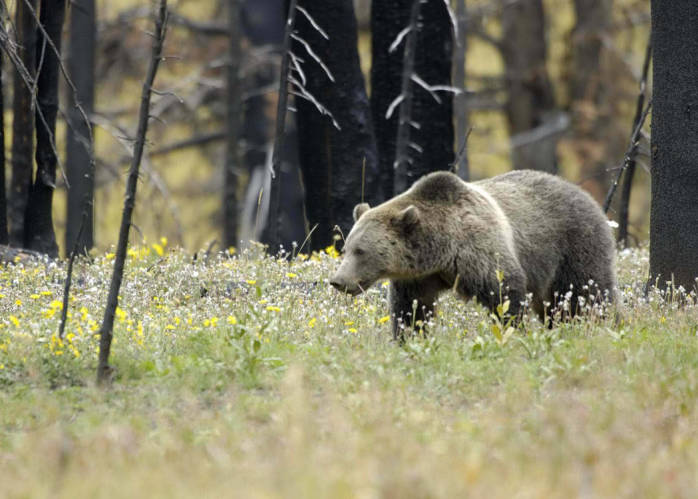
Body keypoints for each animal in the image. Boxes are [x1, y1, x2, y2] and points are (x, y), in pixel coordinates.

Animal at [328, 171, 612, 340]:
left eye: (361, 251)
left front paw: (514, 331)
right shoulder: (418, 277)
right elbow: (411, 309)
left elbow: (505, 292)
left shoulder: (479, 252)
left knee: (590, 294)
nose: (338, 281)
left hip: (574, 246)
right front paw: (409, 338)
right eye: (346, 247)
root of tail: (585, 194)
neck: (441, 250)